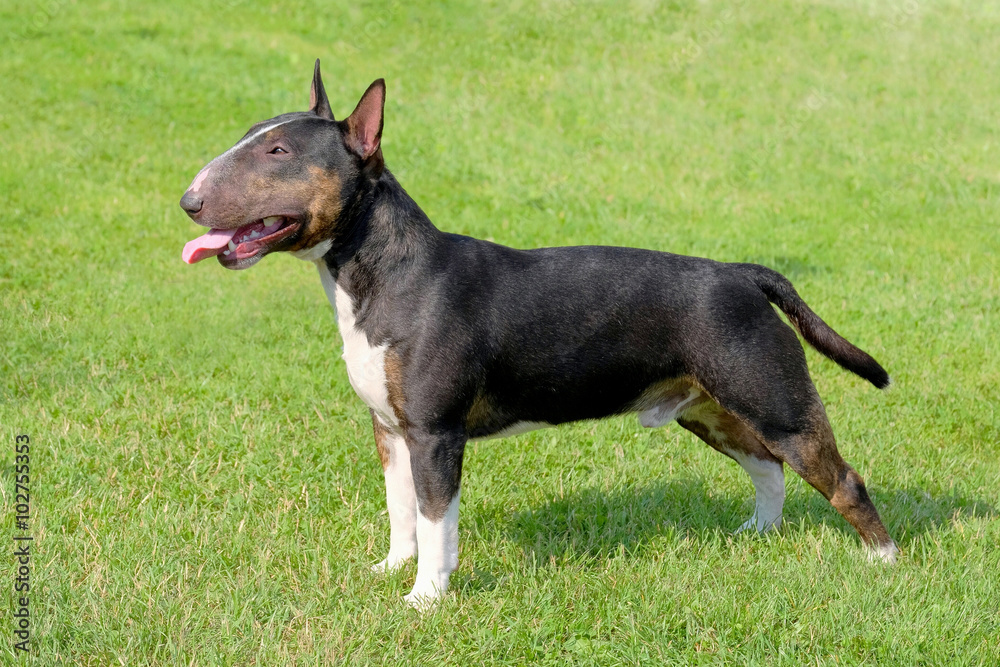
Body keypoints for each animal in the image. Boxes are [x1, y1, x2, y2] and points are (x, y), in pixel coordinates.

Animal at [180, 61, 900, 604]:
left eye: (278, 152)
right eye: (252, 134)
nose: (189, 200)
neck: (385, 272)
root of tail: (742, 274)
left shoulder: (436, 434)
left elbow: (437, 520)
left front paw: (426, 597)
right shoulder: (391, 429)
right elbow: (400, 510)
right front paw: (391, 569)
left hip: (776, 400)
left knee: (840, 478)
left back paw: (885, 561)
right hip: (710, 407)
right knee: (768, 466)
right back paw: (757, 533)